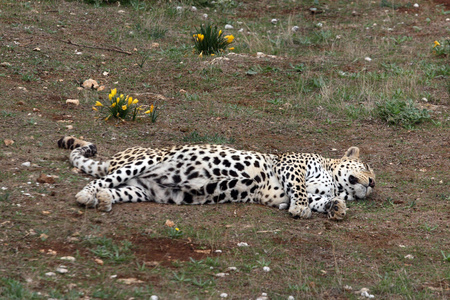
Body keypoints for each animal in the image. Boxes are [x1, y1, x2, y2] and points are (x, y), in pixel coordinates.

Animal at [59, 137, 376, 220]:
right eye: (367, 166)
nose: (373, 184)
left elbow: (319, 200)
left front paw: (336, 207)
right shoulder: (291, 164)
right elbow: (300, 190)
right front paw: (301, 208)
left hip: (142, 189)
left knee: (118, 188)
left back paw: (103, 200)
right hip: (146, 160)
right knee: (103, 179)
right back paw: (88, 195)